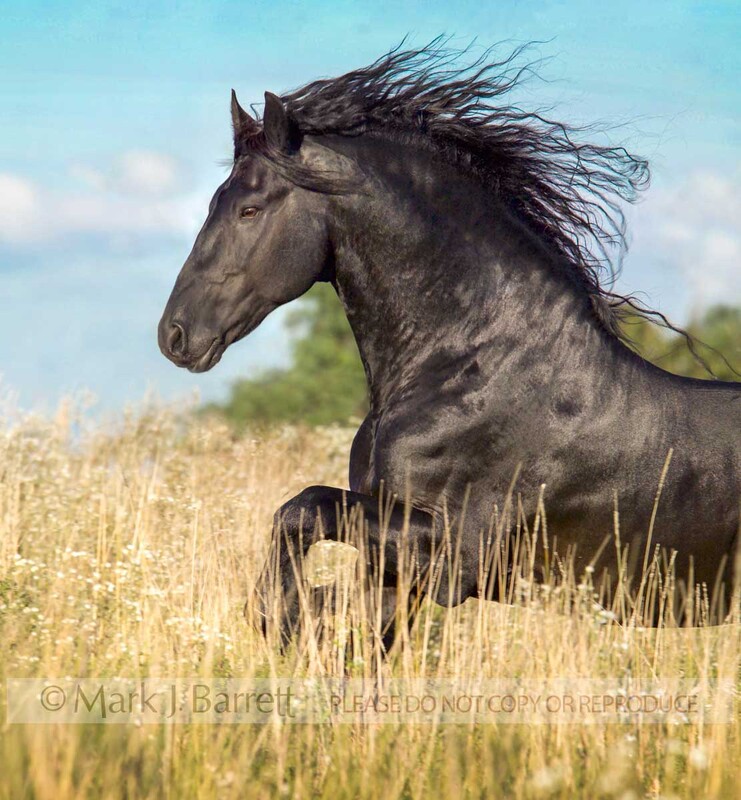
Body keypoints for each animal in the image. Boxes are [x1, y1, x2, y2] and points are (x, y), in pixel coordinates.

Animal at [158, 41, 740, 647]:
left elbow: (304, 512)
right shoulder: (395, 570)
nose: (174, 334)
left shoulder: (455, 553)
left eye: (249, 209)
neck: (471, 369)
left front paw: (286, 613)